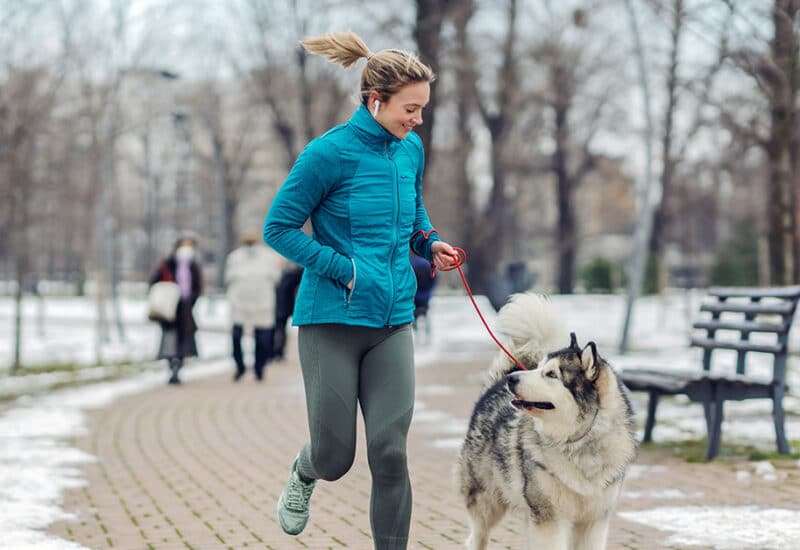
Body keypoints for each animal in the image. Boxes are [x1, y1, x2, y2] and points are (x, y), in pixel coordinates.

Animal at [456, 296, 636, 548]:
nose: (512, 379)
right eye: (539, 368)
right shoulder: (549, 517)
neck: (579, 442)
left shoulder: (594, 521)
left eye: (551, 374)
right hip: (486, 503)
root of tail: (493, 387)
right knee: (476, 536)